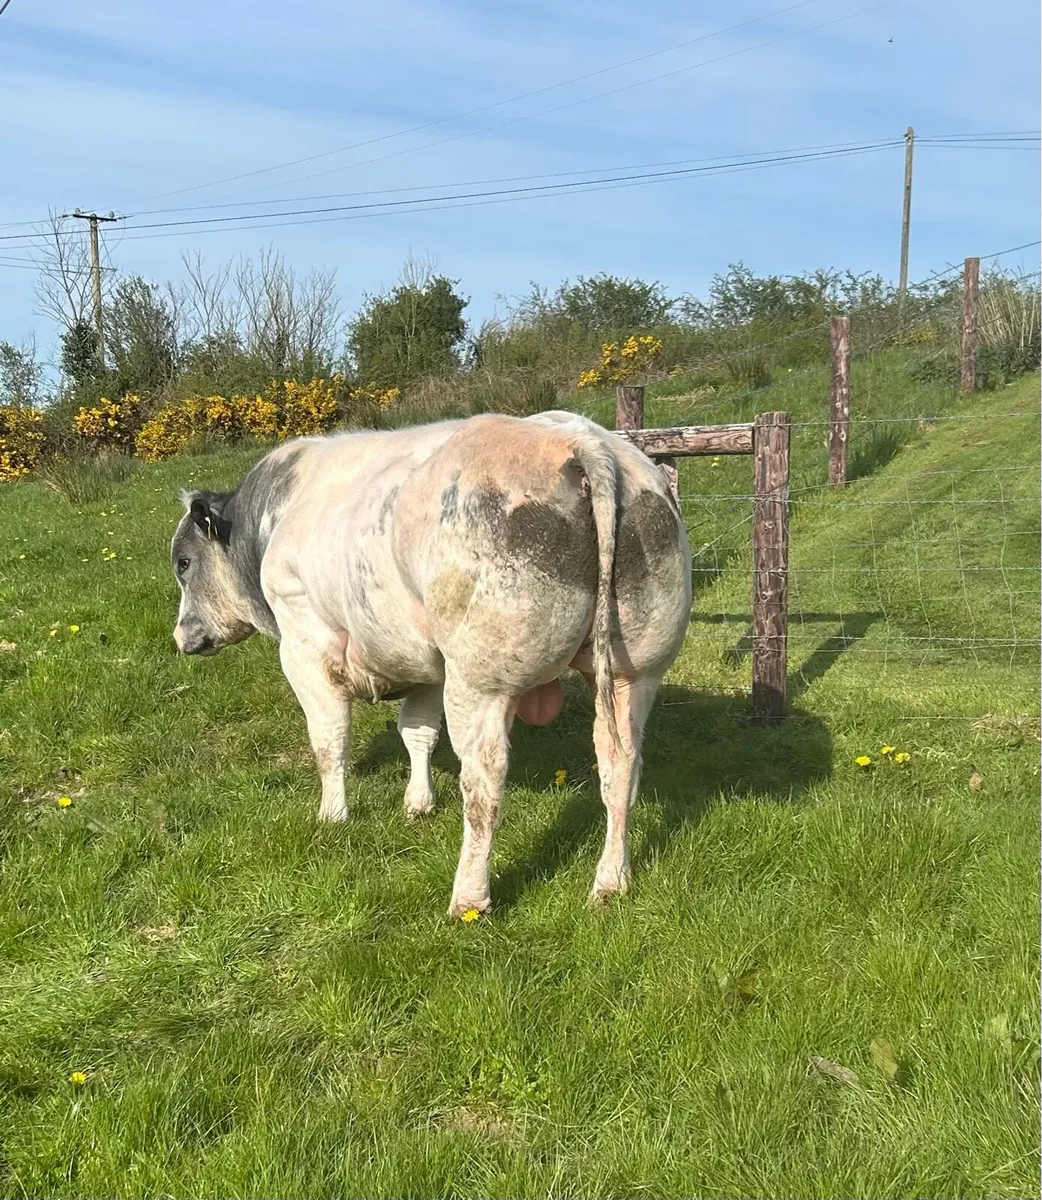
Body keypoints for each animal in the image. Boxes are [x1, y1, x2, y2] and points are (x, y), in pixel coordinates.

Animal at [170, 411, 691, 917]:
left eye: (183, 563)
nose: (181, 636)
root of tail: (579, 438)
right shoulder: (423, 661)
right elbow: (417, 732)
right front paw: (417, 804)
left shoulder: (305, 645)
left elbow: (329, 741)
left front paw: (332, 816)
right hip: (634, 672)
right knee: (620, 765)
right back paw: (610, 882)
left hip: (482, 683)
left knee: (484, 781)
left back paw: (469, 899)